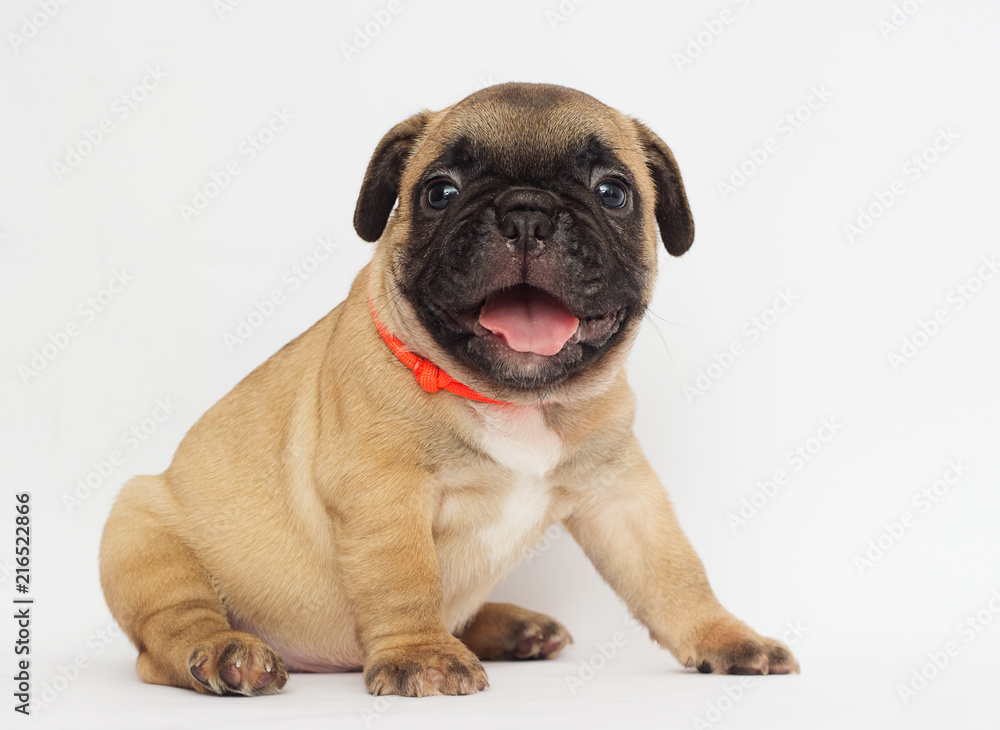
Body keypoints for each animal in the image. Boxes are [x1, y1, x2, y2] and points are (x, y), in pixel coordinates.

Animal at [101, 82, 800, 696]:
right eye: (440, 192)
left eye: (612, 191)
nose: (526, 212)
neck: (516, 401)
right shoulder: (383, 492)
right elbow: (406, 579)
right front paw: (423, 656)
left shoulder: (622, 495)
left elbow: (674, 573)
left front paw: (727, 638)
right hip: (143, 537)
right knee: (169, 633)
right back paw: (226, 653)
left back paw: (512, 627)